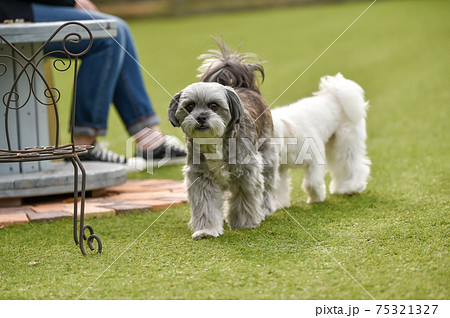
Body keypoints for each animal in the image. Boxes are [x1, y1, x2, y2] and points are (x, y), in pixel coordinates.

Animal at [272, 73, 370, 205]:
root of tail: (332, 95)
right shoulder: (280, 169)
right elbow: (280, 188)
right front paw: (281, 204)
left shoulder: (315, 159)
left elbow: (311, 183)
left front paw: (316, 198)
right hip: (333, 147)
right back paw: (341, 188)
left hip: (345, 143)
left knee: (352, 164)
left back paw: (352, 187)